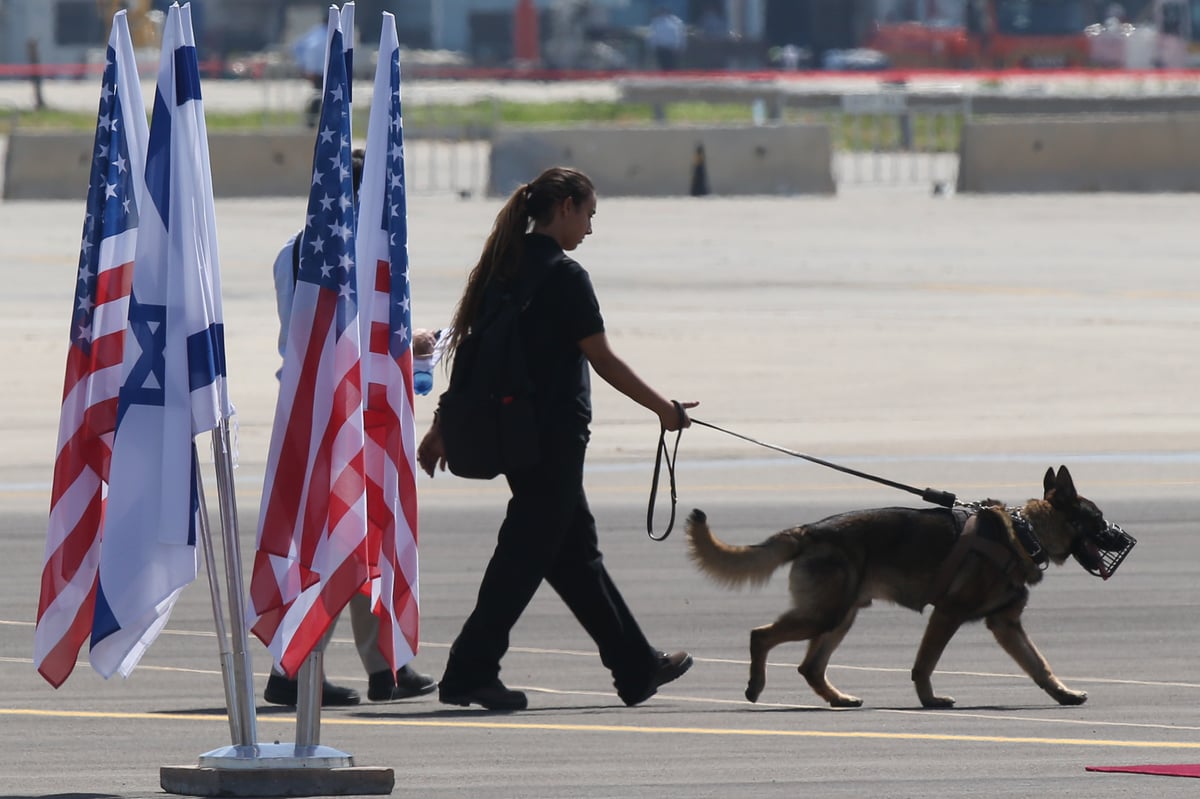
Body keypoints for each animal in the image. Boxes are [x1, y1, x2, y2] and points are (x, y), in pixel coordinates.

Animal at [691, 463, 1128, 705]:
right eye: (1097, 518)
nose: (1127, 539)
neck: (1025, 533)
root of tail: (810, 530)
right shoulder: (947, 615)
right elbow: (924, 664)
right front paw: (929, 700)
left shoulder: (1005, 625)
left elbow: (1040, 665)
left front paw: (1063, 694)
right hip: (824, 615)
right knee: (760, 635)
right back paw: (755, 686)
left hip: (840, 617)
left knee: (809, 667)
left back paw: (839, 699)